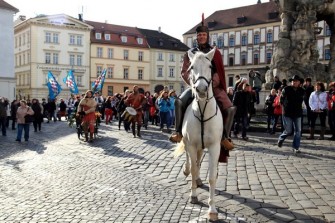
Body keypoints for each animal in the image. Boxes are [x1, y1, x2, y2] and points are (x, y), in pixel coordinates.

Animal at [175, 47, 224, 221]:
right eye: (191, 68)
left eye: (210, 67)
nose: (201, 89)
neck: (202, 111)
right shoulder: (191, 144)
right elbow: (194, 168)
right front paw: (193, 195)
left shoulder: (215, 147)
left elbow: (212, 176)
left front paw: (212, 209)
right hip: (188, 142)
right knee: (191, 162)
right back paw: (187, 170)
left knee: (198, 160)